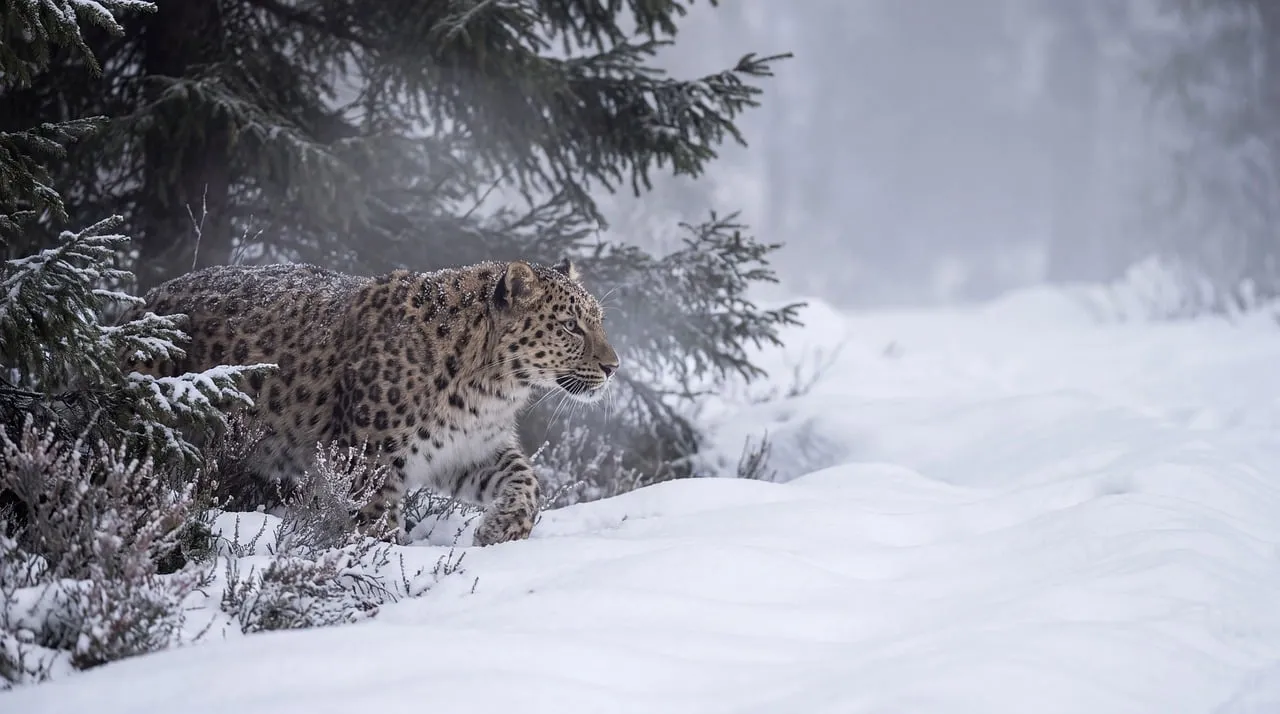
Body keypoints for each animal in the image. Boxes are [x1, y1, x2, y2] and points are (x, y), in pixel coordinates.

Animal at [122, 258, 620, 547]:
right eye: (571, 326)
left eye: (599, 321)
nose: (614, 366)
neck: (491, 389)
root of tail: (142, 301)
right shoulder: (370, 461)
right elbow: (375, 523)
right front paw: (384, 563)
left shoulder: (468, 449)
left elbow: (529, 481)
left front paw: (502, 529)